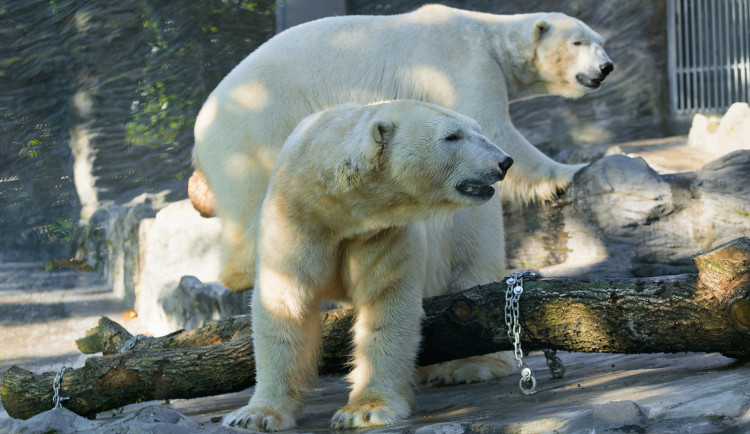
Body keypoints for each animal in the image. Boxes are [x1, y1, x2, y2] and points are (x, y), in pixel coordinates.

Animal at [223, 101, 516, 430]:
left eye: (477, 130)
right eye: (452, 136)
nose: (504, 161)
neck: (338, 207)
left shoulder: (382, 231)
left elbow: (385, 304)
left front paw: (363, 410)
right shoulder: (295, 217)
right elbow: (283, 302)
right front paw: (255, 415)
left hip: (465, 223)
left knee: (472, 269)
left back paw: (469, 368)